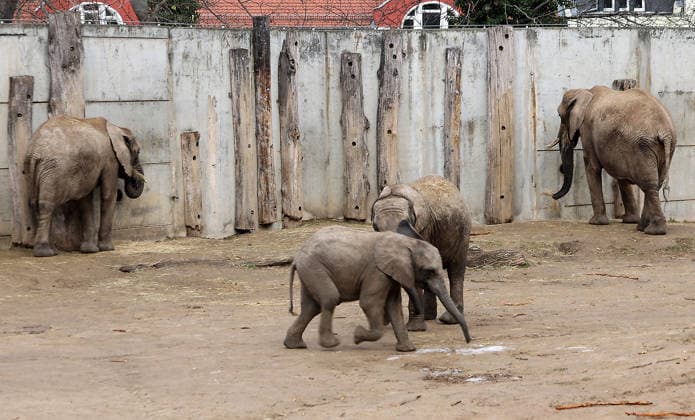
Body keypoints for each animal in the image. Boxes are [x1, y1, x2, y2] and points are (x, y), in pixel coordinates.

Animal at [24, 116, 146, 257]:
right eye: (137, 152)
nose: (122, 193)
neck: (117, 128)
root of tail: (35, 152)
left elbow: (85, 200)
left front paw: (90, 250)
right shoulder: (110, 159)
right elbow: (108, 195)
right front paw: (108, 248)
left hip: (30, 170)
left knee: (34, 203)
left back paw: (53, 250)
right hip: (54, 170)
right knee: (47, 205)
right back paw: (44, 252)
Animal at [283, 224, 471, 352]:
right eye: (429, 271)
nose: (469, 341)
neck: (406, 243)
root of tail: (296, 257)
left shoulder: (391, 273)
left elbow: (394, 306)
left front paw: (408, 349)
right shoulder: (377, 272)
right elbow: (369, 303)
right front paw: (357, 336)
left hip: (310, 270)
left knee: (311, 307)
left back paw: (294, 345)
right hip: (314, 268)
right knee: (330, 299)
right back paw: (331, 344)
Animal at [371, 175, 472, 332]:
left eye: (406, 223)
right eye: (375, 227)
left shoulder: (424, 229)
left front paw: (413, 329)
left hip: (463, 232)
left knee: (456, 271)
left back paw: (447, 320)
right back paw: (429, 317)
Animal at [550, 86, 677, 235]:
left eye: (560, 115)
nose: (552, 196)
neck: (585, 91)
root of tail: (665, 132)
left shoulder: (587, 128)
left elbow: (592, 166)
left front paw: (596, 223)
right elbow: (621, 175)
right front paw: (628, 221)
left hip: (643, 146)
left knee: (649, 184)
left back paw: (654, 231)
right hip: (662, 147)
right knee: (656, 183)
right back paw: (641, 227)